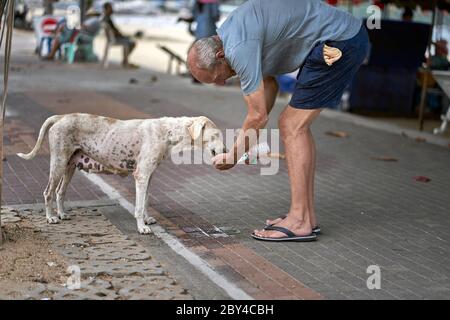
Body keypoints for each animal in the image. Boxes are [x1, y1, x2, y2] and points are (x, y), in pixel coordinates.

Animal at [18, 114, 227, 234]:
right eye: (216, 135)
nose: (226, 150)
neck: (168, 131)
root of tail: (60, 117)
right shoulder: (142, 175)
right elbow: (138, 207)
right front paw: (142, 227)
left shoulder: (149, 176)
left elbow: (146, 200)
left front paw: (147, 219)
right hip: (59, 164)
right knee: (48, 192)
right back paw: (50, 217)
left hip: (69, 166)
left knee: (60, 192)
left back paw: (61, 214)